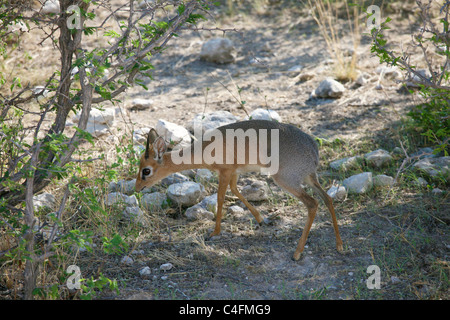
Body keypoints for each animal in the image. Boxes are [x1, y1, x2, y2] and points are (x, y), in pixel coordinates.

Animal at [135, 120, 342, 260]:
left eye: (146, 170)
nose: (137, 188)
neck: (204, 149)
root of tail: (313, 148)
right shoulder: (234, 172)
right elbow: (235, 190)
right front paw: (261, 219)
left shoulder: (225, 172)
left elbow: (220, 198)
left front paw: (214, 232)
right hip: (310, 178)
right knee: (327, 199)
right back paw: (339, 246)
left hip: (287, 180)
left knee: (313, 203)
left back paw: (297, 253)